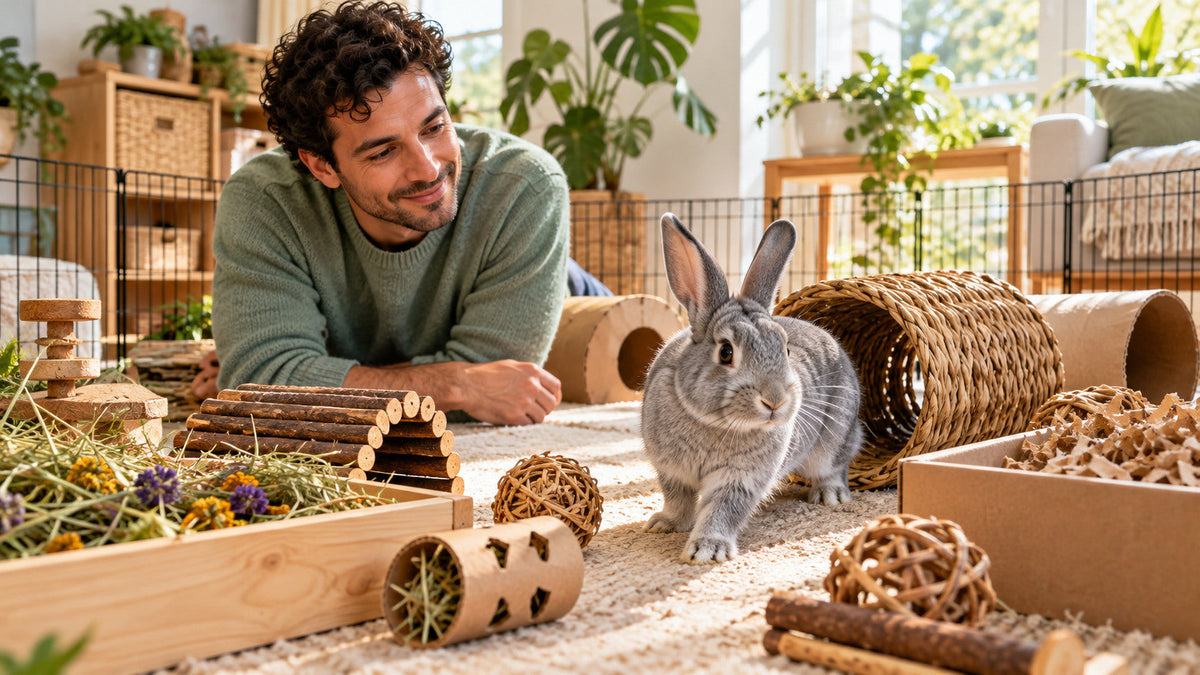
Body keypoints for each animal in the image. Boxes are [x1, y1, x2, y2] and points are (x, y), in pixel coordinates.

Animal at [641, 213, 863, 564]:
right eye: (726, 352)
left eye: (786, 349)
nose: (775, 401)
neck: (714, 423)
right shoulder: (671, 472)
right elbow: (677, 500)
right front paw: (664, 525)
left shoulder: (740, 479)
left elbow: (722, 510)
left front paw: (706, 550)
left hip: (836, 438)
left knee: (836, 465)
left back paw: (830, 496)